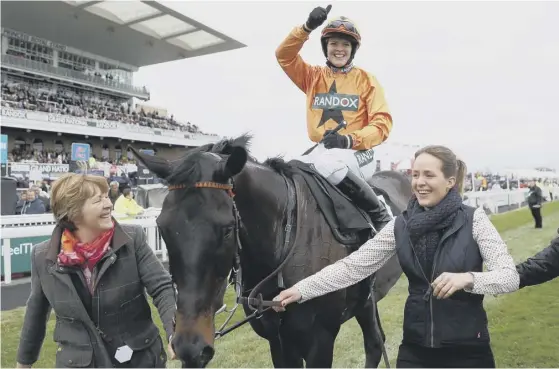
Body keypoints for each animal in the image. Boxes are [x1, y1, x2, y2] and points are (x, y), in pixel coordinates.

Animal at [130, 134, 412, 366]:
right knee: (375, 343)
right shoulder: (278, 340)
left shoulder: (321, 340)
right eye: (162, 227)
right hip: (366, 303)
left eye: (227, 229)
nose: (189, 346)